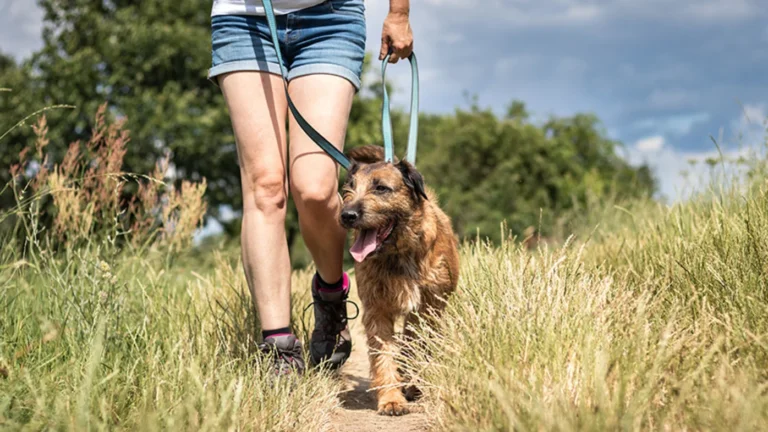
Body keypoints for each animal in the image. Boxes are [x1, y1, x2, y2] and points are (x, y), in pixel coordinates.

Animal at [340, 144, 460, 416]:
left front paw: (411, 384)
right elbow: (383, 355)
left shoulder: (427, 308)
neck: (398, 253)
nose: (347, 215)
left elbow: (416, 345)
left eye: (381, 188)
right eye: (349, 188)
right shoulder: (377, 310)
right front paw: (391, 399)